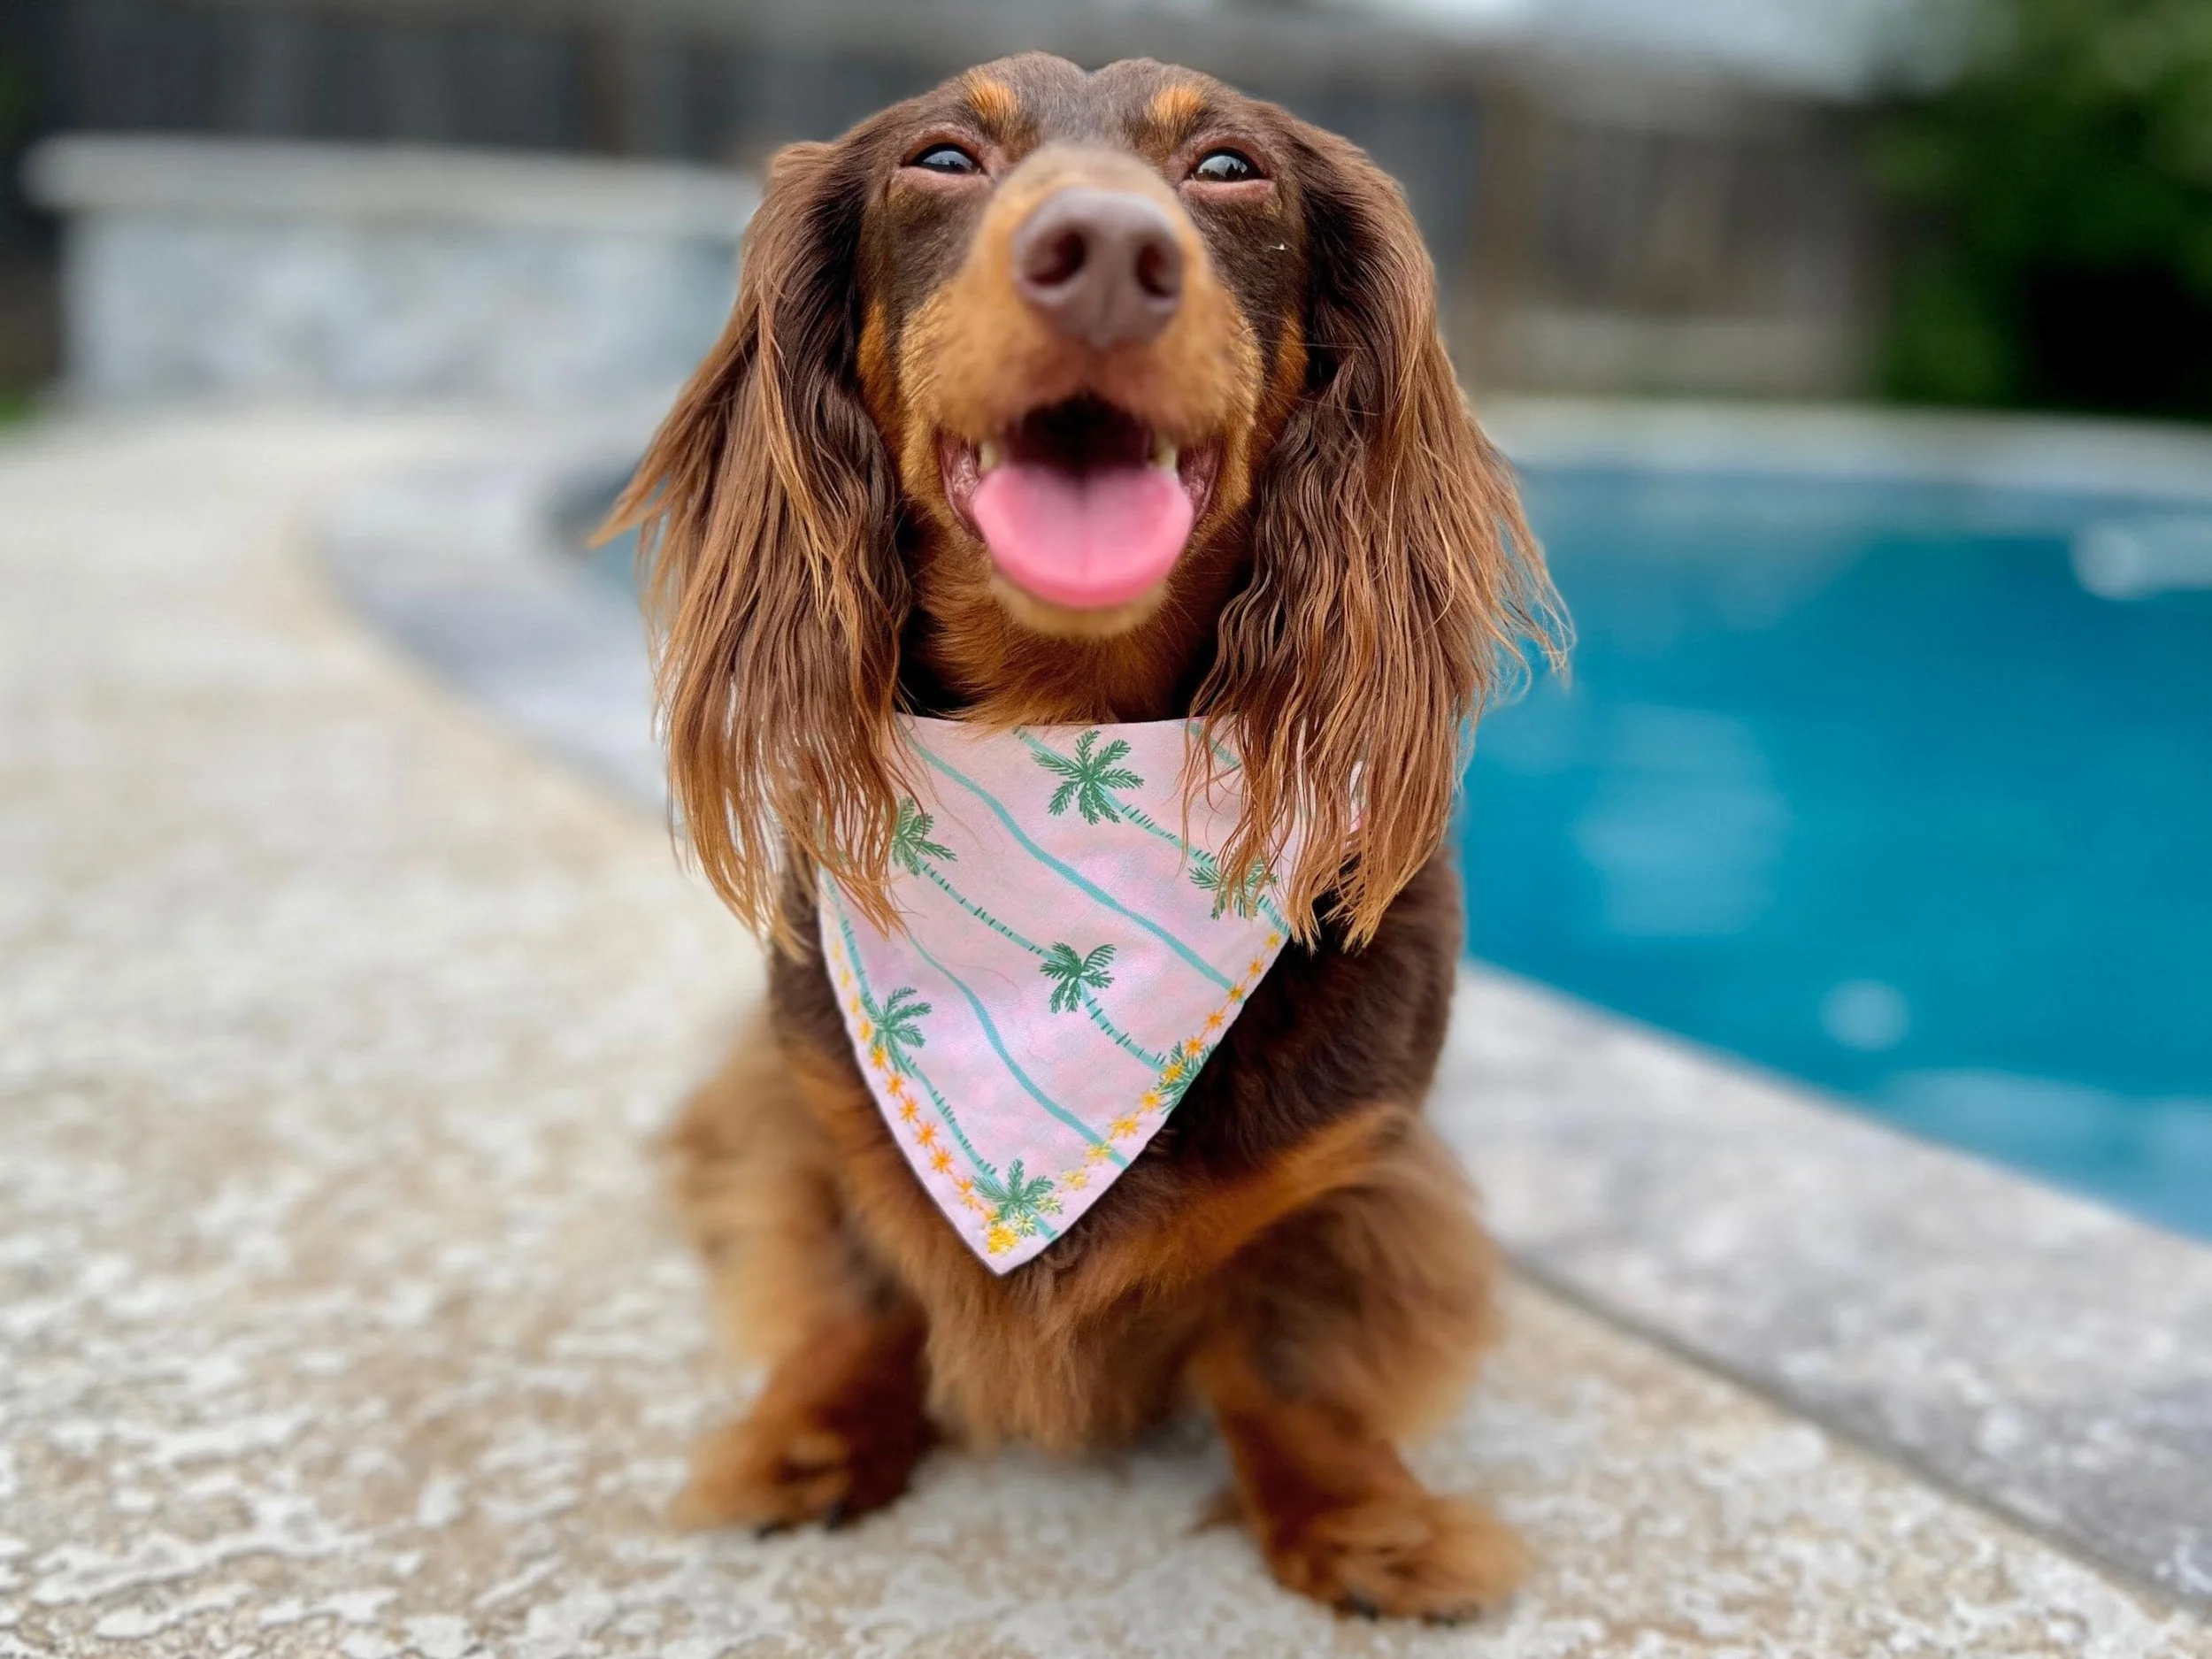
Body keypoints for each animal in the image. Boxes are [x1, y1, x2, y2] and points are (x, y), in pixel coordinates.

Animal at [609, 51, 1564, 1621]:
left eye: (1231, 169)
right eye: (942, 155)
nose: (1109, 254)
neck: (1065, 733)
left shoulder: (1360, 1171)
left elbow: (1288, 1360)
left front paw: (1363, 1519)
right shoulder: (815, 1107)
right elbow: (861, 1280)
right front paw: (809, 1432)